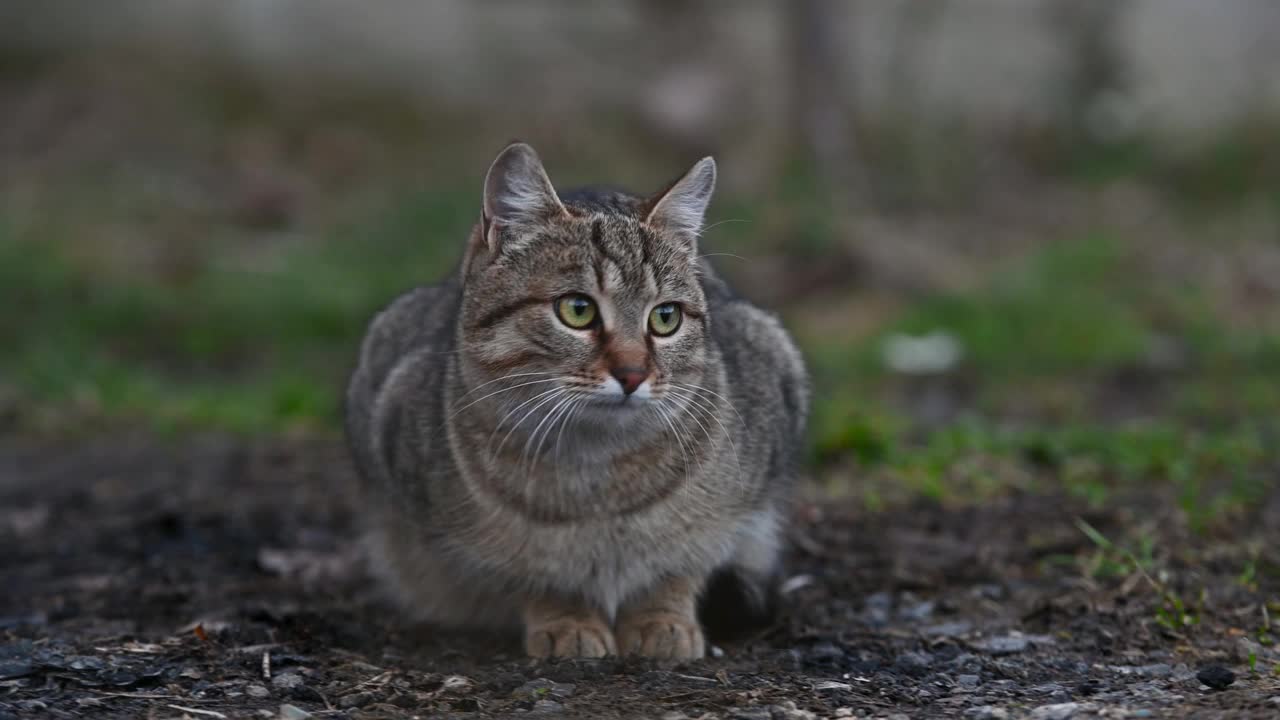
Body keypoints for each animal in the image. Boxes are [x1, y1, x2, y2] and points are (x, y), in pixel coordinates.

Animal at [345, 141, 808, 655]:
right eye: (577, 310)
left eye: (665, 317)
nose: (633, 374)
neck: (596, 470)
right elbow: (535, 573)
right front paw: (566, 621)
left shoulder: (731, 510)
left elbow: (679, 566)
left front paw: (662, 618)